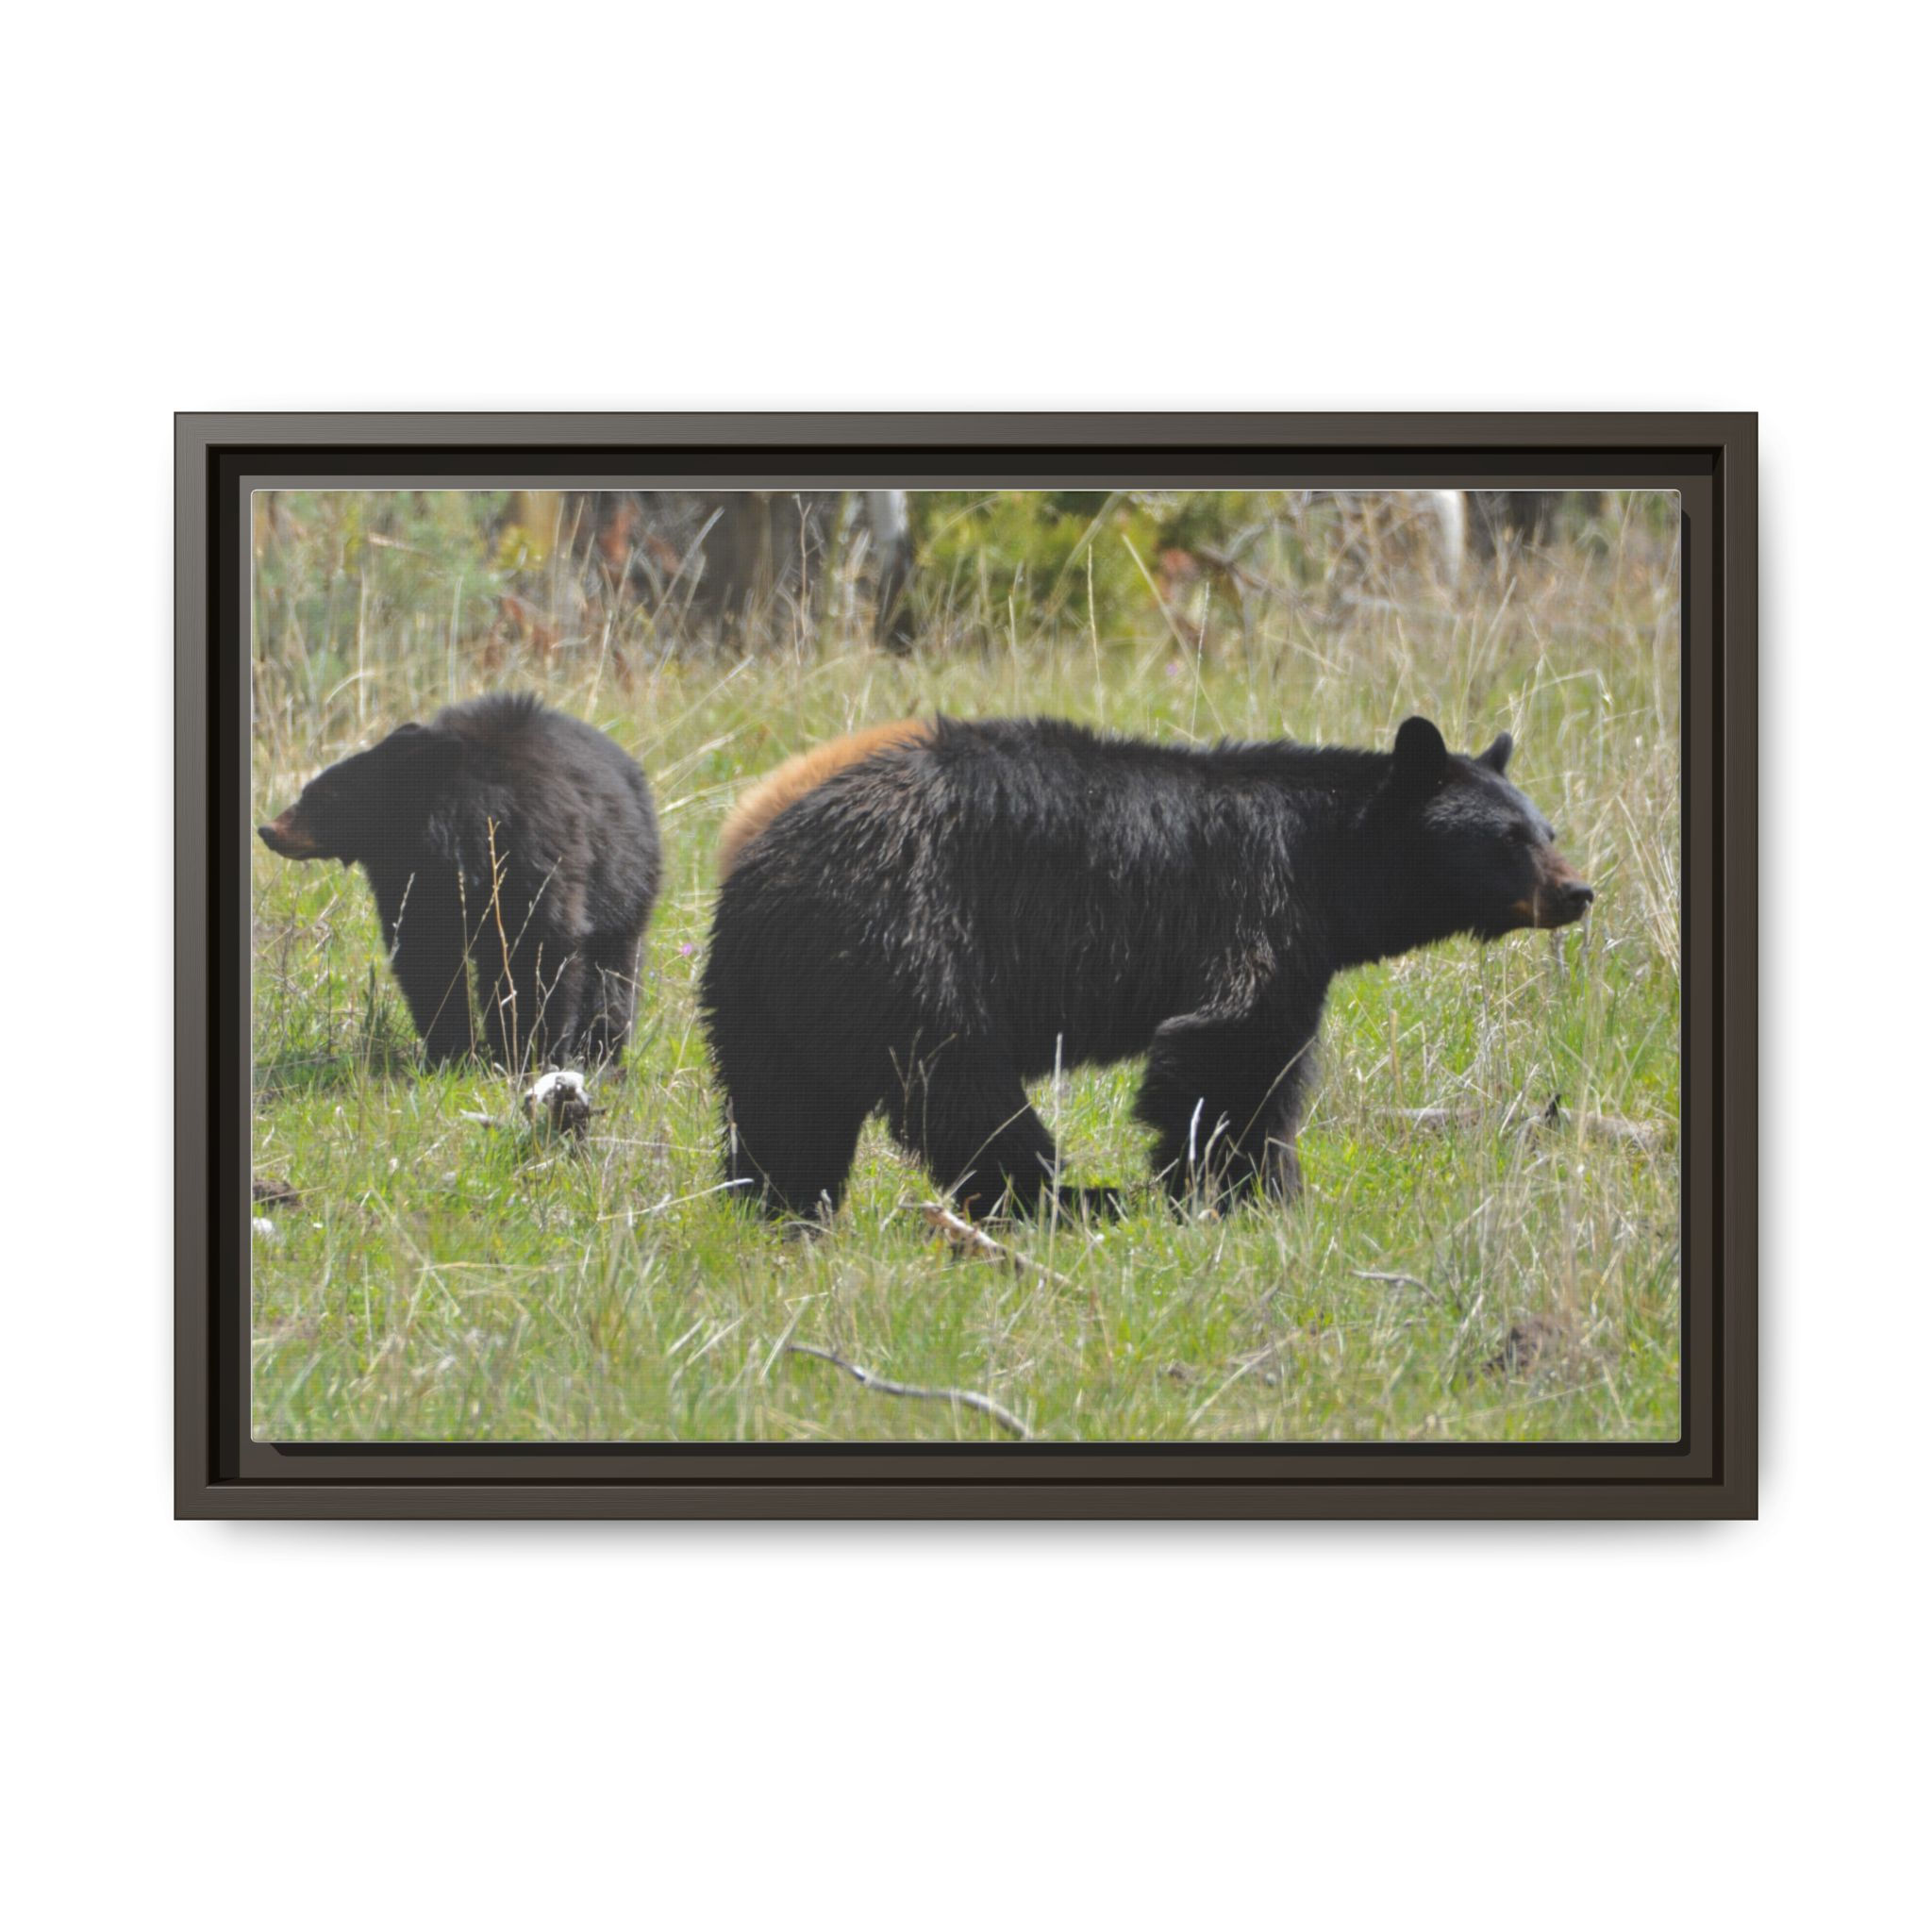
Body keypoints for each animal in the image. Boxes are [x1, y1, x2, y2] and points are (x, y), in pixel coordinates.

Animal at [259, 693, 662, 1071]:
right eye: (308, 790)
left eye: (322, 798)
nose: (267, 830)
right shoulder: (413, 881)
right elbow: (427, 956)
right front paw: (451, 1052)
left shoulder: (534, 863)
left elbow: (537, 952)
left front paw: (528, 1051)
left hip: (625, 881)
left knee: (613, 966)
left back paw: (601, 1048)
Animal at [700, 713, 1592, 1220]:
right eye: (1509, 838)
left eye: (1546, 829)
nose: (1577, 891)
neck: (1327, 861)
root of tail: (758, 849)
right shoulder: (1252, 905)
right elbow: (1232, 1049)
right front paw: (1243, 1191)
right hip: (905, 943)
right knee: (963, 1090)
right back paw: (1067, 1201)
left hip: (775, 996)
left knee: (786, 1110)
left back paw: (781, 1208)